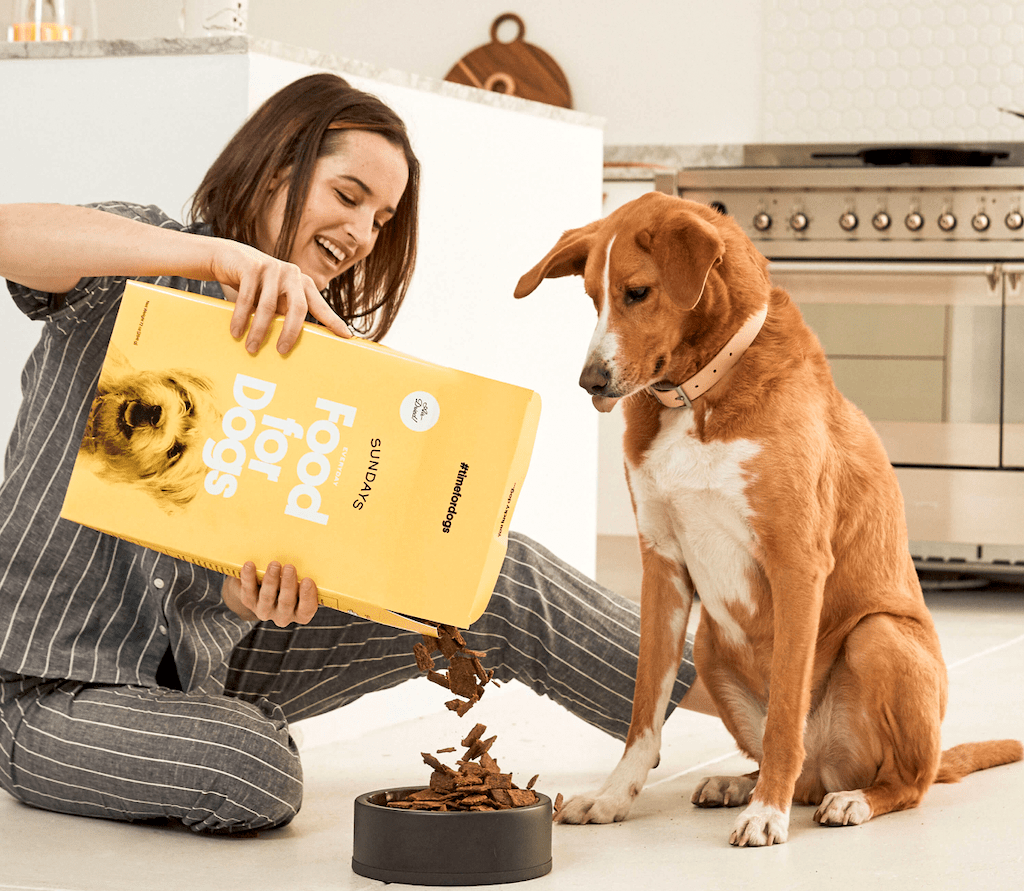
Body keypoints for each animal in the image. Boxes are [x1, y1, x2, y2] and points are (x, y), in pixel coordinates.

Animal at [516, 191, 1019, 847]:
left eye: (638, 293)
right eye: (593, 299)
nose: (589, 381)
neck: (696, 394)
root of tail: (832, 767)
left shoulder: (796, 562)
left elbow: (784, 716)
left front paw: (766, 814)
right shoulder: (663, 566)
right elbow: (643, 714)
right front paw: (614, 798)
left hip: (878, 636)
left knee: (904, 783)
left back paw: (846, 799)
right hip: (708, 644)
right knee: (806, 774)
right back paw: (739, 784)